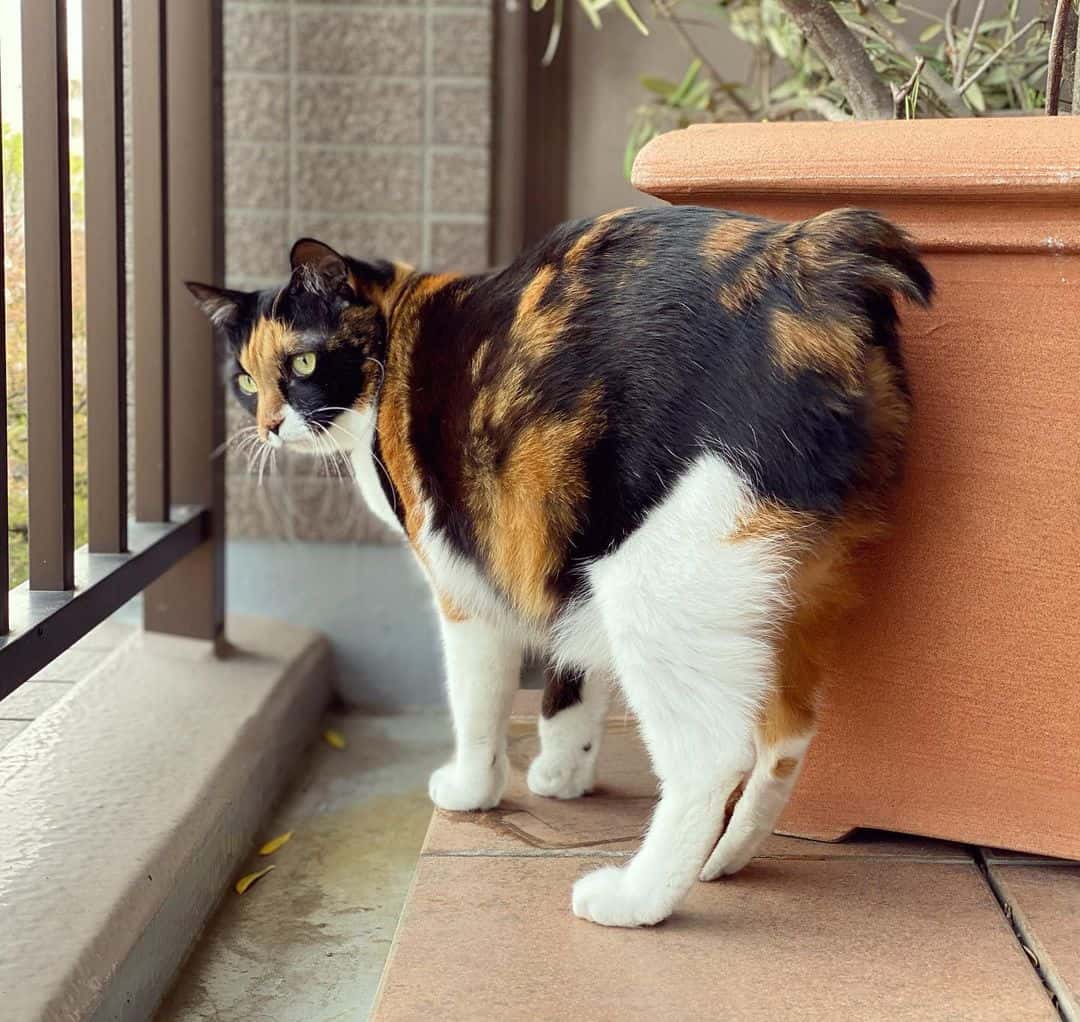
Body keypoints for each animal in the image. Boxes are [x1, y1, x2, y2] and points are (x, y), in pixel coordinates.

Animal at [190, 205, 933, 924]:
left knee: (713, 756)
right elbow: (572, 675)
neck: (397, 323)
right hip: (788, 590)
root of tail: (806, 266)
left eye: (303, 365)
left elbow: (477, 703)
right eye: (244, 378)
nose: (268, 426)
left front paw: (474, 787)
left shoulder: (468, 586)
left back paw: (637, 898)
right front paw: (565, 773)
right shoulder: (564, 544)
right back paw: (726, 858)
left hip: (653, 584)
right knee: (788, 736)